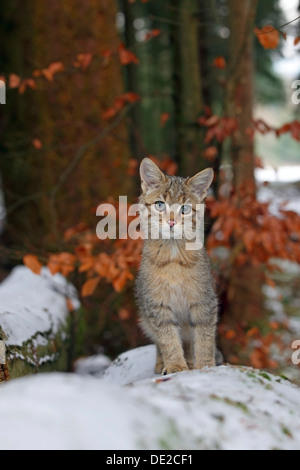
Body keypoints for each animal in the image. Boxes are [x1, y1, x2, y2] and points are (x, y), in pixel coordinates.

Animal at [136, 158, 218, 374]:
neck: (173, 256)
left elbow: (205, 338)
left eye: (185, 209)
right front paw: (175, 365)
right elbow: (168, 339)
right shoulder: (157, 305)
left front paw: (205, 365)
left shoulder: (204, 302)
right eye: (160, 205)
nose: (172, 222)